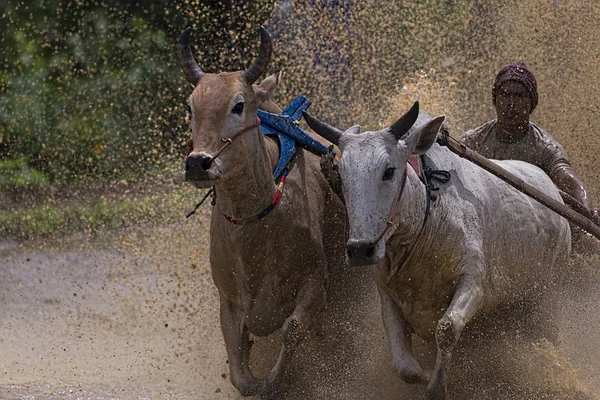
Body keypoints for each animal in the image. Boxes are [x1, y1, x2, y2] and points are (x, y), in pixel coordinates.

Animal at [178, 27, 344, 396]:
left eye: (238, 106)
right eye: (191, 108)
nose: (198, 163)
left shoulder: (316, 282)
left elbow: (293, 331)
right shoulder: (228, 303)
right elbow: (241, 377)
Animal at [304, 104, 572, 400]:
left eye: (389, 171)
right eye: (341, 175)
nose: (360, 249)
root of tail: (553, 192)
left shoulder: (474, 281)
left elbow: (446, 329)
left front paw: (437, 385)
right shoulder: (387, 297)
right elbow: (404, 367)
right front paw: (425, 376)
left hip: (547, 294)